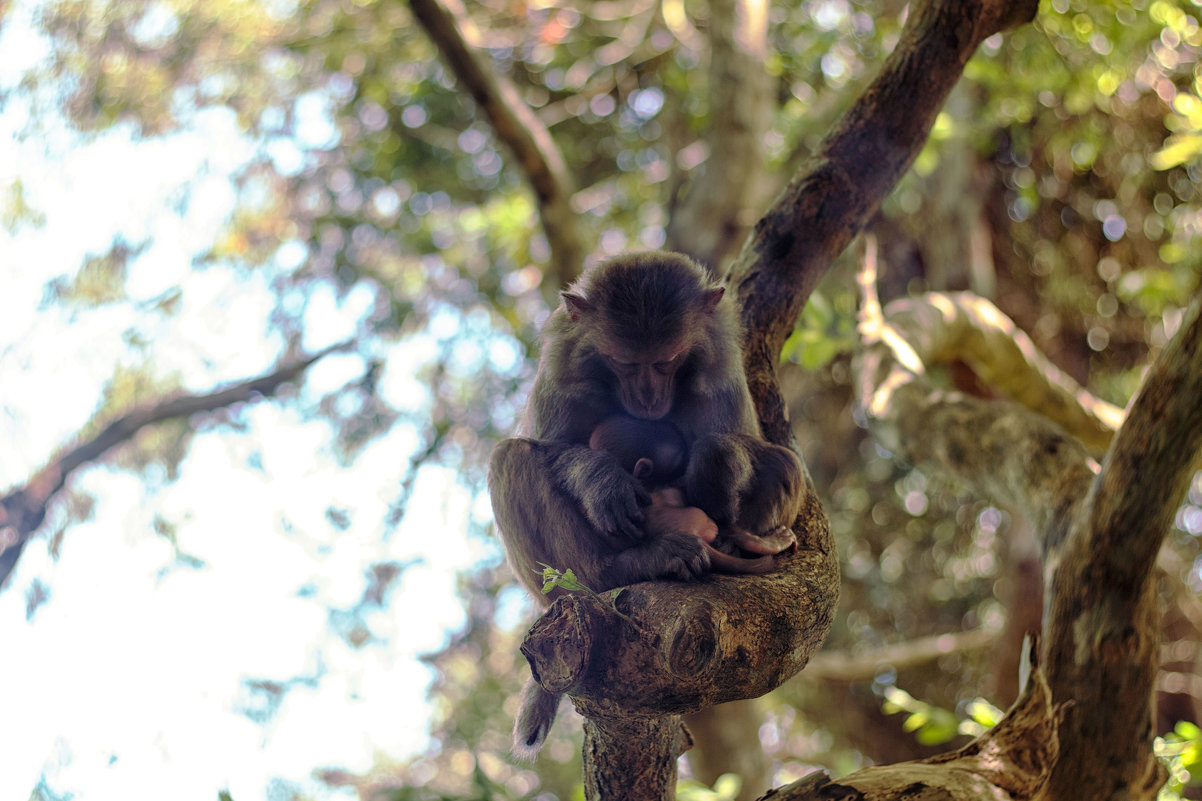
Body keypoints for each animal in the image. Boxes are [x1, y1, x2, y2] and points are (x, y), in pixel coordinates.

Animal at [483, 250, 802, 755]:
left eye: (667, 361)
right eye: (624, 363)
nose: (648, 398)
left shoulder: (721, 365)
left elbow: (740, 442)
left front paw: (714, 463)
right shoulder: (562, 367)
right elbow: (552, 447)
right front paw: (601, 481)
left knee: (784, 464)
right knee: (509, 459)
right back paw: (623, 568)